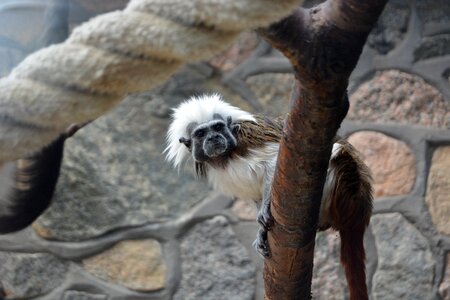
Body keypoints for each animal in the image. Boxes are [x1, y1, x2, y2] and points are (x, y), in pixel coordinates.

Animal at [165, 94, 372, 300]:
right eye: (201, 133)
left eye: (217, 127)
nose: (214, 137)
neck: (225, 157)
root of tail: (361, 211)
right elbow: (254, 194)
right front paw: (261, 231)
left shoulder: (249, 138)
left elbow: (273, 160)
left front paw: (265, 210)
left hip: (345, 192)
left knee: (336, 151)